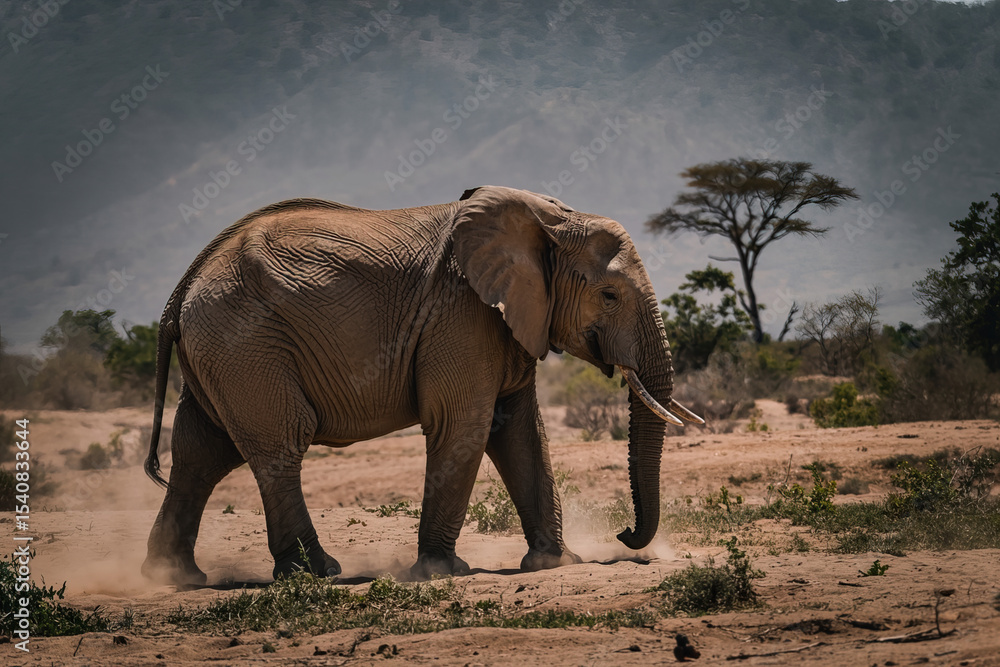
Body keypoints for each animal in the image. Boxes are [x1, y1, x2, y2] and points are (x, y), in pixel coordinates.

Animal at [141, 185, 703, 586]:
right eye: (609, 296)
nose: (625, 534)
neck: (549, 219)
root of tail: (182, 290)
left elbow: (522, 433)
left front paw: (555, 563)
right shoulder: (461, 314)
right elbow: (464, 426)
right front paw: (440, 573)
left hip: (221, 349)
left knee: (201, 450)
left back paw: (174, 578)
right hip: (245, 342)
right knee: (278, 443)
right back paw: (317, 574)